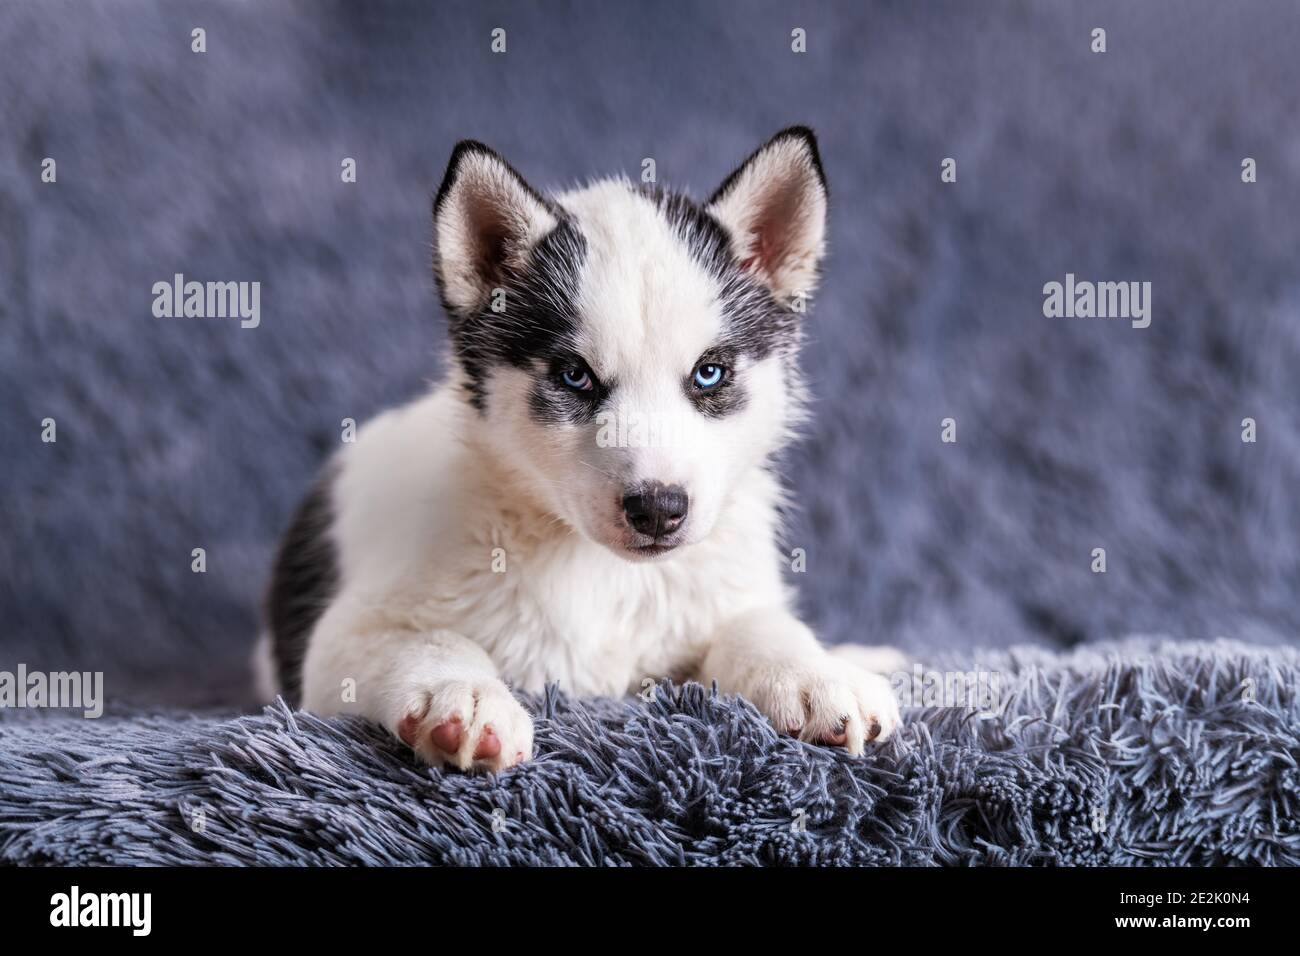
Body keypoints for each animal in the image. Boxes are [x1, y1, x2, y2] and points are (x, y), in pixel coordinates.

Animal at [258, 125, 899, 770]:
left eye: (709, 373)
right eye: (574, 376)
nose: (658, 510)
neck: (599, 570)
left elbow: (759, 625)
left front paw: (813, 674)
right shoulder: (341, 639)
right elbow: (432, 639)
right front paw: (462, 696)